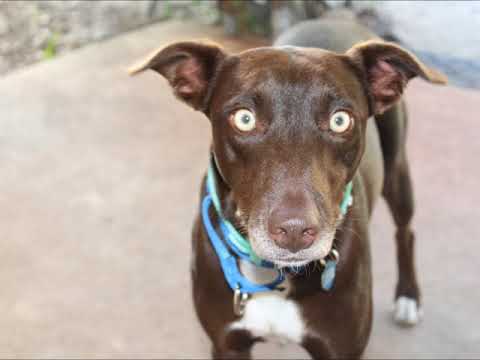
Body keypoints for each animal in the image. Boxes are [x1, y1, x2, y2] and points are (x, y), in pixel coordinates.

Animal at [131, 19, 446, 360]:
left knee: (405, 231)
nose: (294, 232)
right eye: (244, 118)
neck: (277, 276)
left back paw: (408, 297)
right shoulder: (227, 344)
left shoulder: (342, 348)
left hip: (397, 169)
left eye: (340, 120)